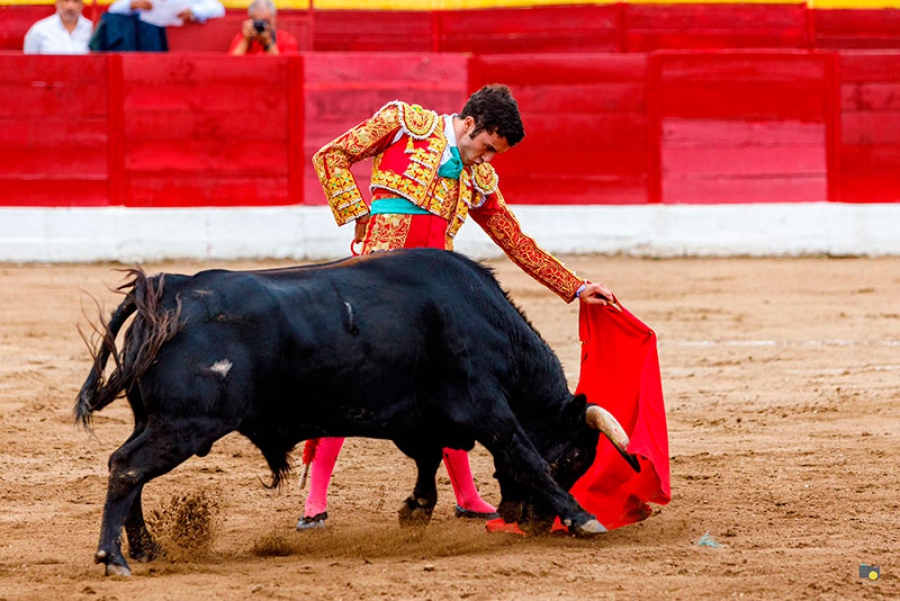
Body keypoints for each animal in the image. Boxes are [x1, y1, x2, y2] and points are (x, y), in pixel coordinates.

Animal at [74, 250, 632, 576]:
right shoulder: (485, 405)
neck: (481, 316)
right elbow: (522, 454)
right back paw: (114, 558)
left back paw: (146, 549)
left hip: (155, 419)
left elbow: (430, 458)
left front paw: (416, 510)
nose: (534, 525)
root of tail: (169, 289)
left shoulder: (421, 417)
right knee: (127, 467)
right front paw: (584, 518)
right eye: (574, 458)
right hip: (186, 423)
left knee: (130, 470)